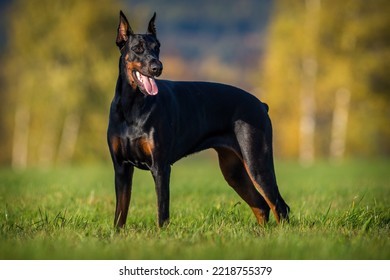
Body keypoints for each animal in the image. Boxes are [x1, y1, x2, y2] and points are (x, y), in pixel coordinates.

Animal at [106, 11, 290, 230]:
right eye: (138, 48)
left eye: (157, 48)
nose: (157, 67)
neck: (132, 107)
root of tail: (261, 104)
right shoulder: (121, 167)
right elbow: (120, 213)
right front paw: (117, 234)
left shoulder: (160, 167)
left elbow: (162, 211)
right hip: (234, 171)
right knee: (261, 205)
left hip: (257, 161)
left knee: (279, 205)